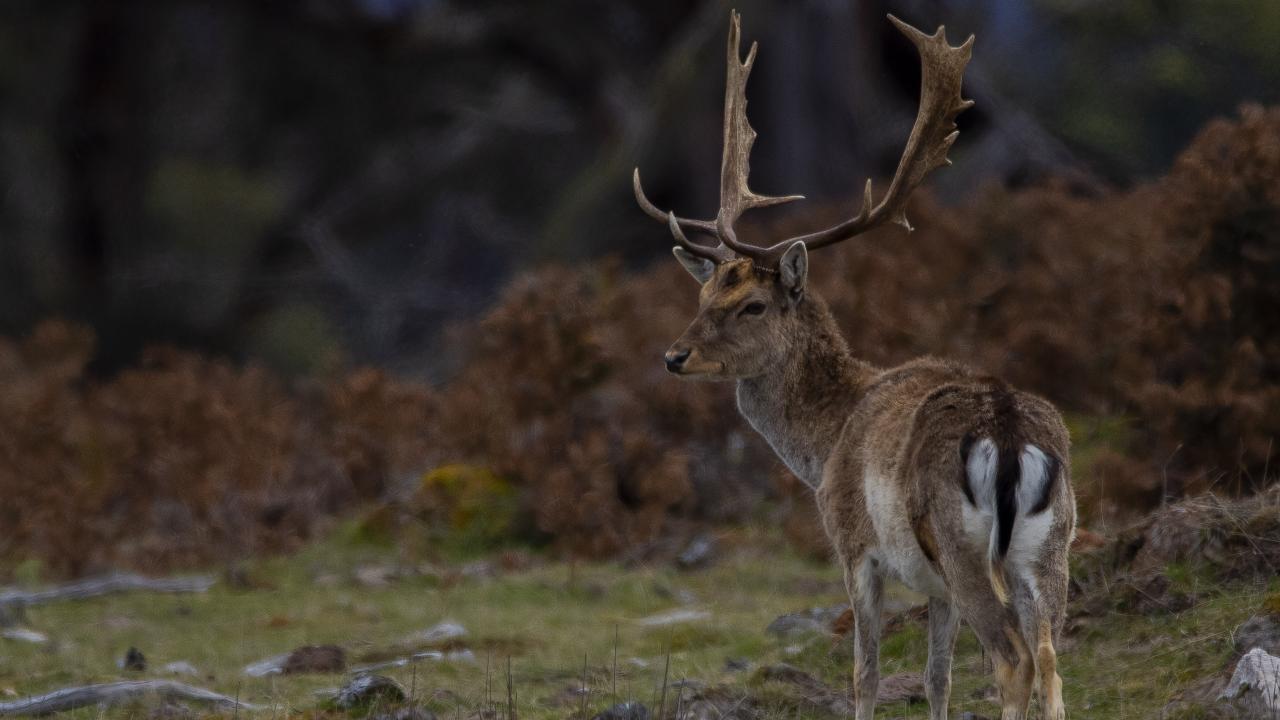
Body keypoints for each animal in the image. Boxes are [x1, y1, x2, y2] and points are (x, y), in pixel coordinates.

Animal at [633, 11, 1075, 720]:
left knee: (1015, 660)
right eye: (703, 297)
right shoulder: (934, 586)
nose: (675, 356)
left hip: (960, 546)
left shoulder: (853, 546)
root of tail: (1009, 438)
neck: (825, 441)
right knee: (1052, 659)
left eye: (752, 305)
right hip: (1050, 546)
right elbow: (936, 677)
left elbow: (865, 675)